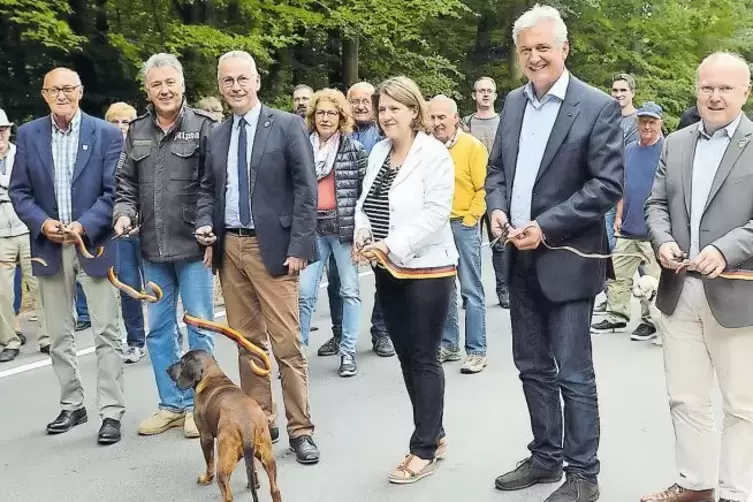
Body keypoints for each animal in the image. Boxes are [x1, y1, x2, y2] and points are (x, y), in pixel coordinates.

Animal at [167, 350, 282, 502]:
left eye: (181, 362)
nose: (166, 369)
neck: (213, 377)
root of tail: (246, 425)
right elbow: (252, 470)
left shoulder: (205, 437)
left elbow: (209, 464)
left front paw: (205, 479)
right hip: (268, 457)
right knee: (275, 489)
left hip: (223, 463)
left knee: (227, 495)